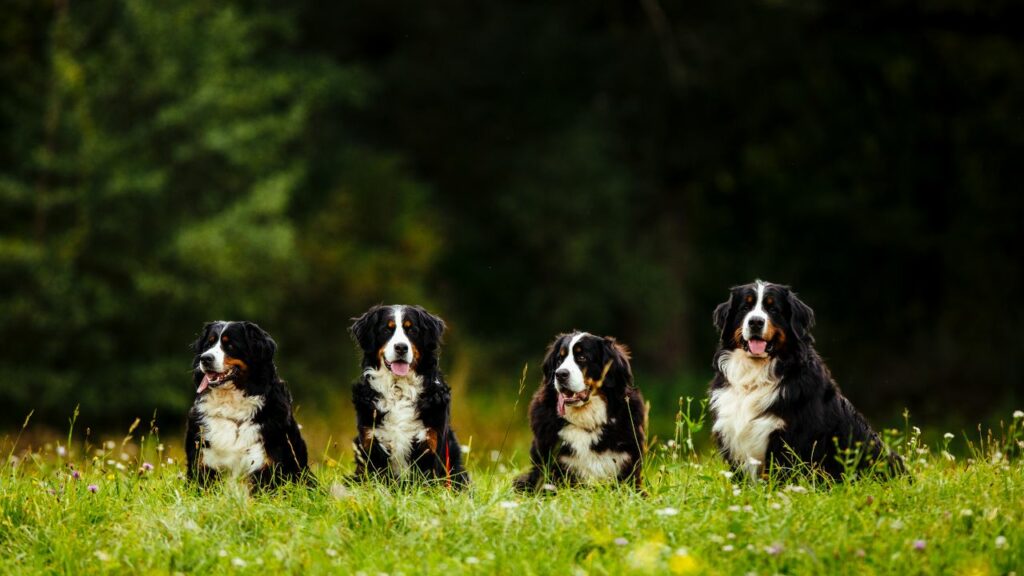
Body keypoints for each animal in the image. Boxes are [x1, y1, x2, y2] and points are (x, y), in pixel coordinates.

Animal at [185, 319, 307, 485]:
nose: (205, 358)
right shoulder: (202, 464)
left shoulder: (267, 466)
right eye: (208, 344)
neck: (231, 405)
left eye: (230, 345)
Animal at [348, 303, 468, 485]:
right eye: (387, 329)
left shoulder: (431, 444)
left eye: (412, 330)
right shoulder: (371, 443)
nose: (401, 347)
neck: (399, 390)